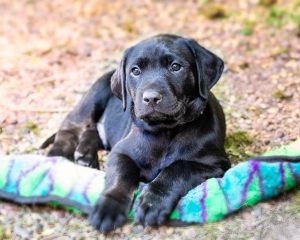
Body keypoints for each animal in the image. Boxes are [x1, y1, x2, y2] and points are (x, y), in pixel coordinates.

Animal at [41, 34, 231, 232]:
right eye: (135, 71)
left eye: (175, 67)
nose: (151, 98)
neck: (166, 130)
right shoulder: (121, 153)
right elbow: (121, 177)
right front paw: (109, 206)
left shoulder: (215, 163)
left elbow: (177, 168)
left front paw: (152, 203)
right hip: (93, 96)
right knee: (71, 126)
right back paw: (58, 154)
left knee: (93, 131)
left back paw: (85, 155)